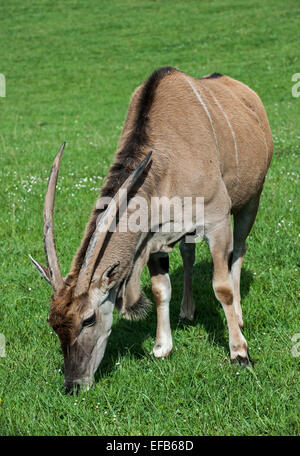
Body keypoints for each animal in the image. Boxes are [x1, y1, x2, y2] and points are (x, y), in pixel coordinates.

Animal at [31, 66, 274, 390]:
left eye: (89, 319)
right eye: (53, 324)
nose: (74, 384)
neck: (169, 155)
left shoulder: (217, 221)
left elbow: (221, 288)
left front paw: (240, 353)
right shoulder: (155, 237)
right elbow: (161, 290)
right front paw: (162, 347)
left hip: (250, 201)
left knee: (239, 250)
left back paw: (239, 316)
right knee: (188, 253)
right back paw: (187, 311)